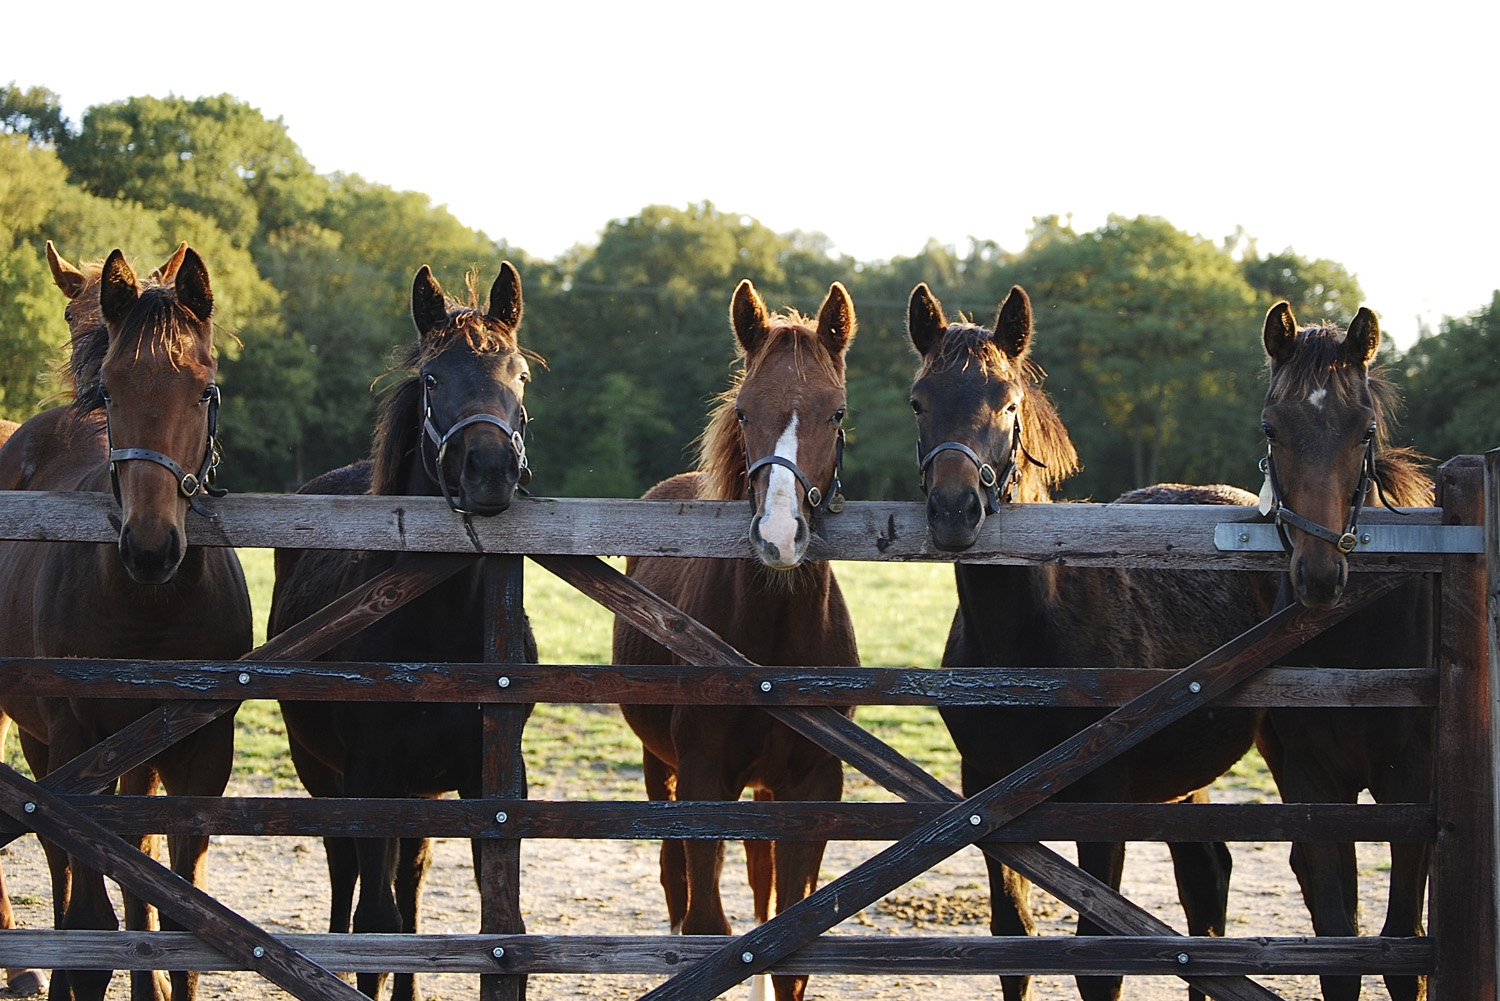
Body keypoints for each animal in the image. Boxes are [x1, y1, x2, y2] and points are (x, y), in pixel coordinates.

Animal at [0, 244, 252, 1001]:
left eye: (204, 389)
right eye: (110, 391)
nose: (149, 545)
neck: (150, 609)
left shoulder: (202, 750)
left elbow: (180, 921)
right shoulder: (77, 740)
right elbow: (92, 917)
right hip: (43, 735)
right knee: (60, 858)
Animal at [270, 264, 540, 1001]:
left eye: (519, 374)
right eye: (432, 378)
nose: (489, 472)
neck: (439, 627)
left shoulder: (492, 783)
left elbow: (493, 922)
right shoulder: (370, 777)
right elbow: (376, 921)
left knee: (411, 881)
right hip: (323, 771)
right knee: (347, 874)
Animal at [612, 277, 870, 1001]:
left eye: (836, 413)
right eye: (745, 411)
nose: (779, 536)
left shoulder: (813, 786)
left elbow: (787, 940)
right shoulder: (703, 777)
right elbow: (707, 924)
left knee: (759, 885)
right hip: (661, 767)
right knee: (676, 882)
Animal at [906, 282, 1284, 1001]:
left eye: (1009, 401)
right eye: (919, 400)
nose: (954, 510)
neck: (1024, 643)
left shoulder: (1102, 798)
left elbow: (1098, 961)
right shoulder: (986, 792)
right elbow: (1013, 937)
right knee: (1206, 878)